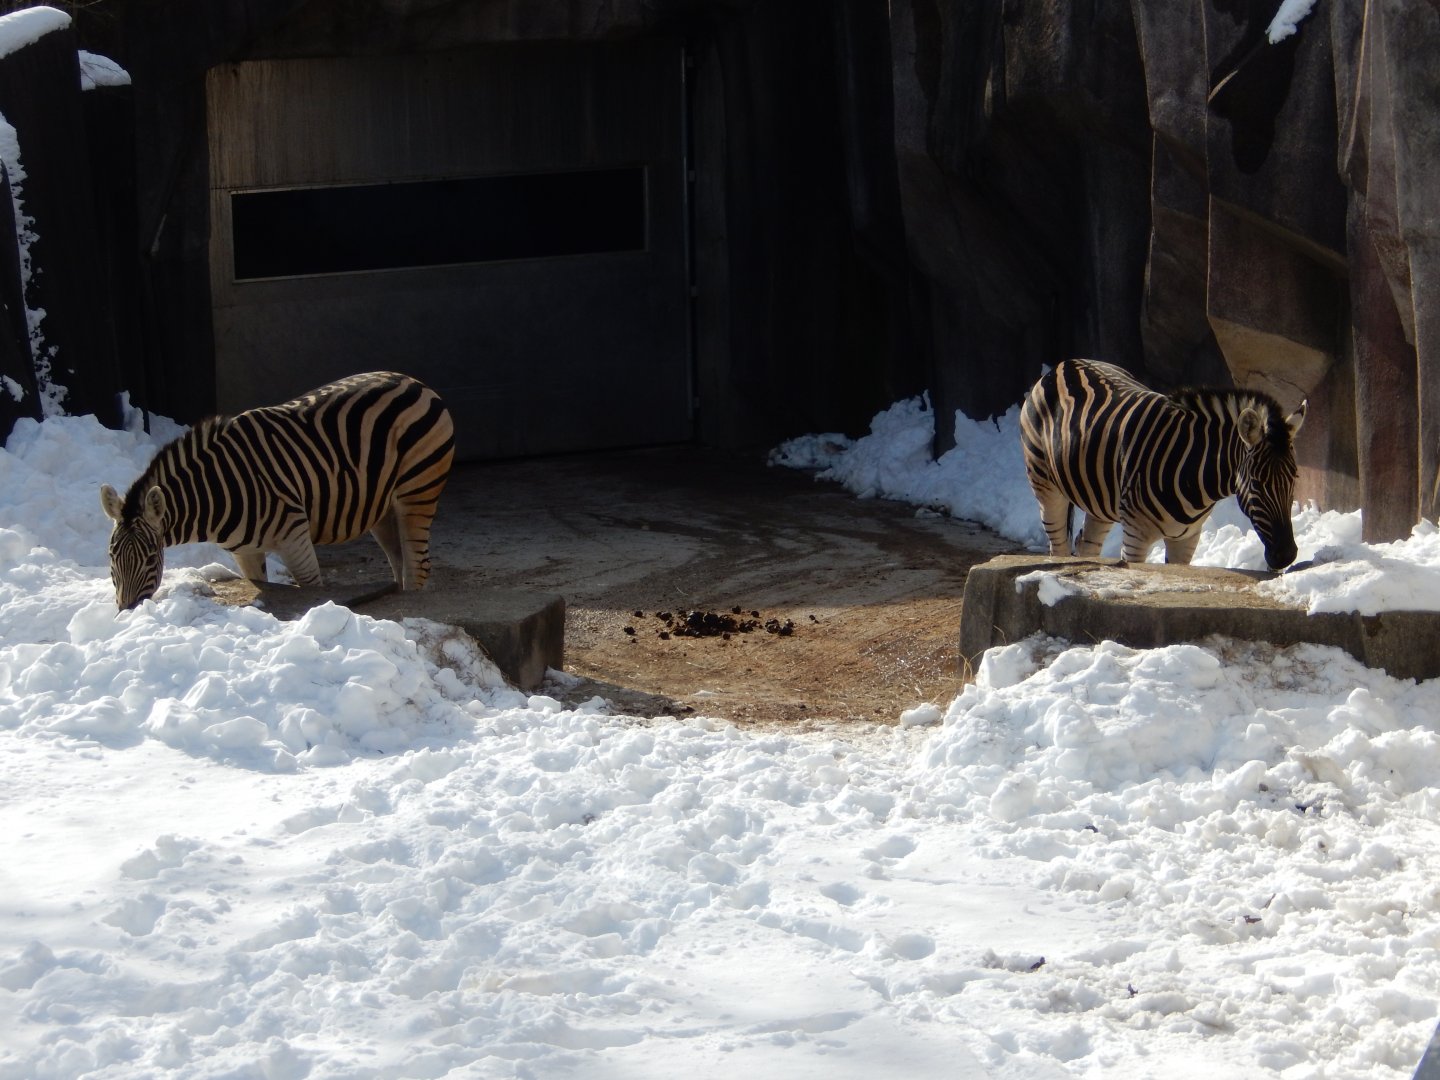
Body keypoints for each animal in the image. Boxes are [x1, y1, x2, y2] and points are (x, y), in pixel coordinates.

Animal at [100, 371, 455, 610]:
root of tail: (412, 381)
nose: (127, 613)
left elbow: (314, 591)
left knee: (418, 565)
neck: (218, 489)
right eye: (111, 557)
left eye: (150, 558)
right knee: (400, 564)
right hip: (382, 506)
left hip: (417, 490)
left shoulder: (295, 538)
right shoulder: (245, 552)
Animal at [1019, 358, 1307, 570]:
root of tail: (1064, 364)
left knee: (1085, 543)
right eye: (1257, 483)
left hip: (1100, 500)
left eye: (1294, 479)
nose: (1287, 556)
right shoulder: (1135, 536)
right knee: (1058, 546)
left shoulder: (1187, 540)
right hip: (1044, 484)